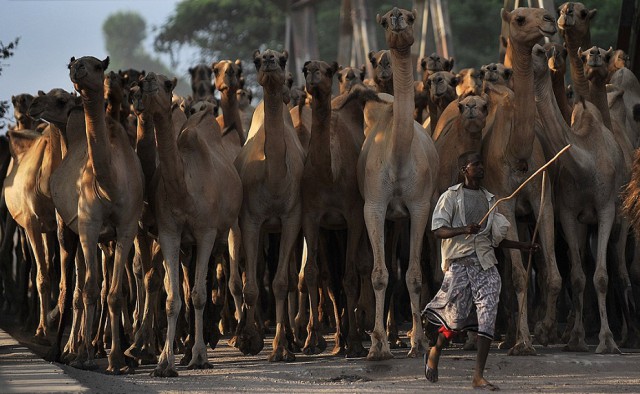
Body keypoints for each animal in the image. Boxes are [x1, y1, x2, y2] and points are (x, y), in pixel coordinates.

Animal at [61, 55, 144, 372]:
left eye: (97, 66)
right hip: (68, 230)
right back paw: (73, 349)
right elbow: (89, 289)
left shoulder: (127, 227)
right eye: (72, 63)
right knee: (78, 285)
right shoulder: (88, 225)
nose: (76, 69)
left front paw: (117, 359)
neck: (108, 184)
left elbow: (115, 294)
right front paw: (83, 355)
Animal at [532, 43, 628, 354]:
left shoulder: (607, 208)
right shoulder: (568, 213)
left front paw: (607, 341)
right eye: (540, 49)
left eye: (554, 49)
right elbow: (577, 276)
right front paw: (575, 338)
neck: (585, 161)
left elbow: (601, 277)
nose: (548, 57)